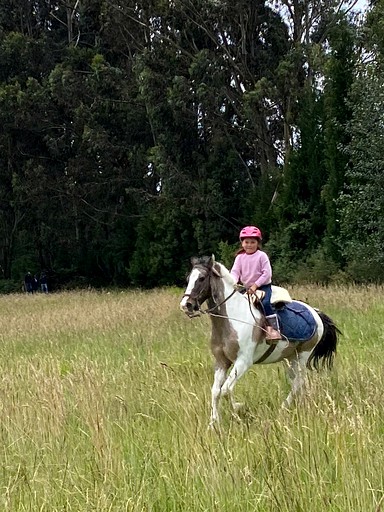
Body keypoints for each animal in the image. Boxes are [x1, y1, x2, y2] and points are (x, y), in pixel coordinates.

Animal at [178, 256, 340, 428]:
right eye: (188, 279)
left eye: (202, 278)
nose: (186, 305)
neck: (232, 319)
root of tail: (315, 312)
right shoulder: (221, 361)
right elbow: (216, 391)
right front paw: (213, 423)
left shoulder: (243, 362)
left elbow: (226, 390)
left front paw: (238, 409)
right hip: (288, 359)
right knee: (298, 382)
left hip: (302, 356)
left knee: (298, 382)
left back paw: (283, 409)